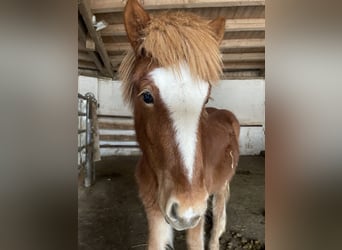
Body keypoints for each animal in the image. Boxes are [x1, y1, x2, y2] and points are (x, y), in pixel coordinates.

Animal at [120, 0, 240, 249]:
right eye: (146, 96)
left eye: (206, 98)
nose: (187, 208)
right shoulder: (155, 214)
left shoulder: (196, 220)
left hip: (220, 187)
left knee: (219, 216)